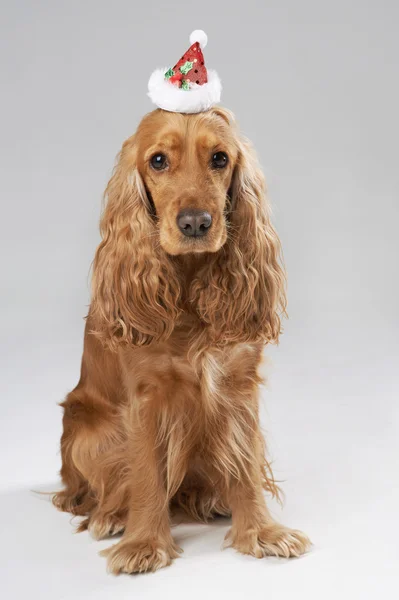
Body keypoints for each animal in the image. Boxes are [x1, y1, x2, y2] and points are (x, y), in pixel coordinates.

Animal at [51, 106, 310, 572]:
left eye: (220, 158)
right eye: (158, 160)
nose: (195, 223)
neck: (189, 285)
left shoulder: (238, 386)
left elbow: (245, 465)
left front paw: (262, 531)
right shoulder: (148, 397)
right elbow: (147, 474)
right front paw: (143, 543)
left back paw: (209, 498)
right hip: (86, 431)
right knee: (89, 489)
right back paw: (110, 516)